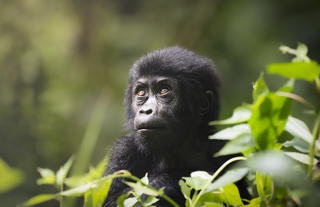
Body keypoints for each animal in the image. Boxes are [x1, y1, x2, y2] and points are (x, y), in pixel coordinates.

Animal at [104, 47, 231, 207]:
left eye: (164, 90)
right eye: (141, 92)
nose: (145, 110)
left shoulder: (223, 149)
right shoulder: (123, 153)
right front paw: (167, 182)